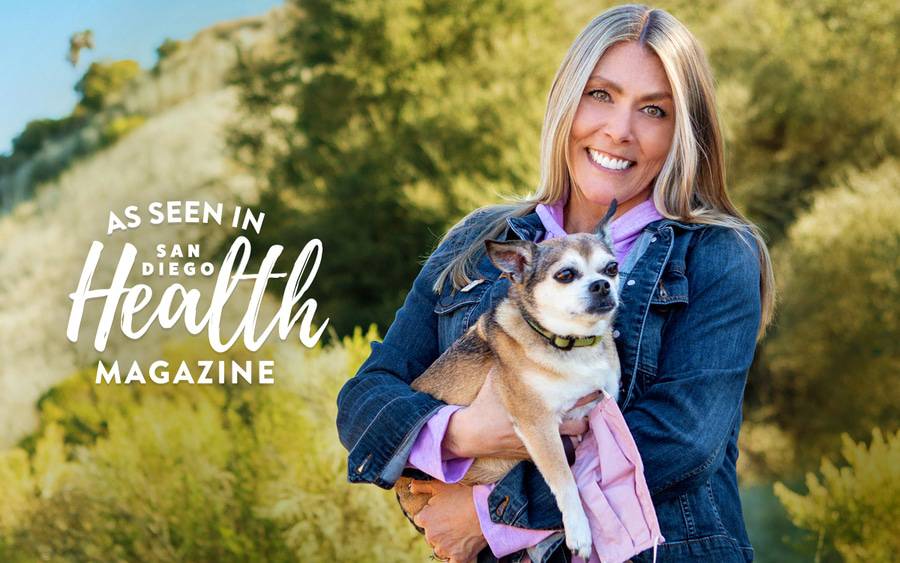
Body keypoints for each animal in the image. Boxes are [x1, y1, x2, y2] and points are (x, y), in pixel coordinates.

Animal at [398, 203, 624, 560]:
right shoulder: (539, 426)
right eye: (566, 275)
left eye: (612, 268)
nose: (602, 285)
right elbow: (565, 479)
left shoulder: (595, 413)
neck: (572, 344)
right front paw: (579, 530)